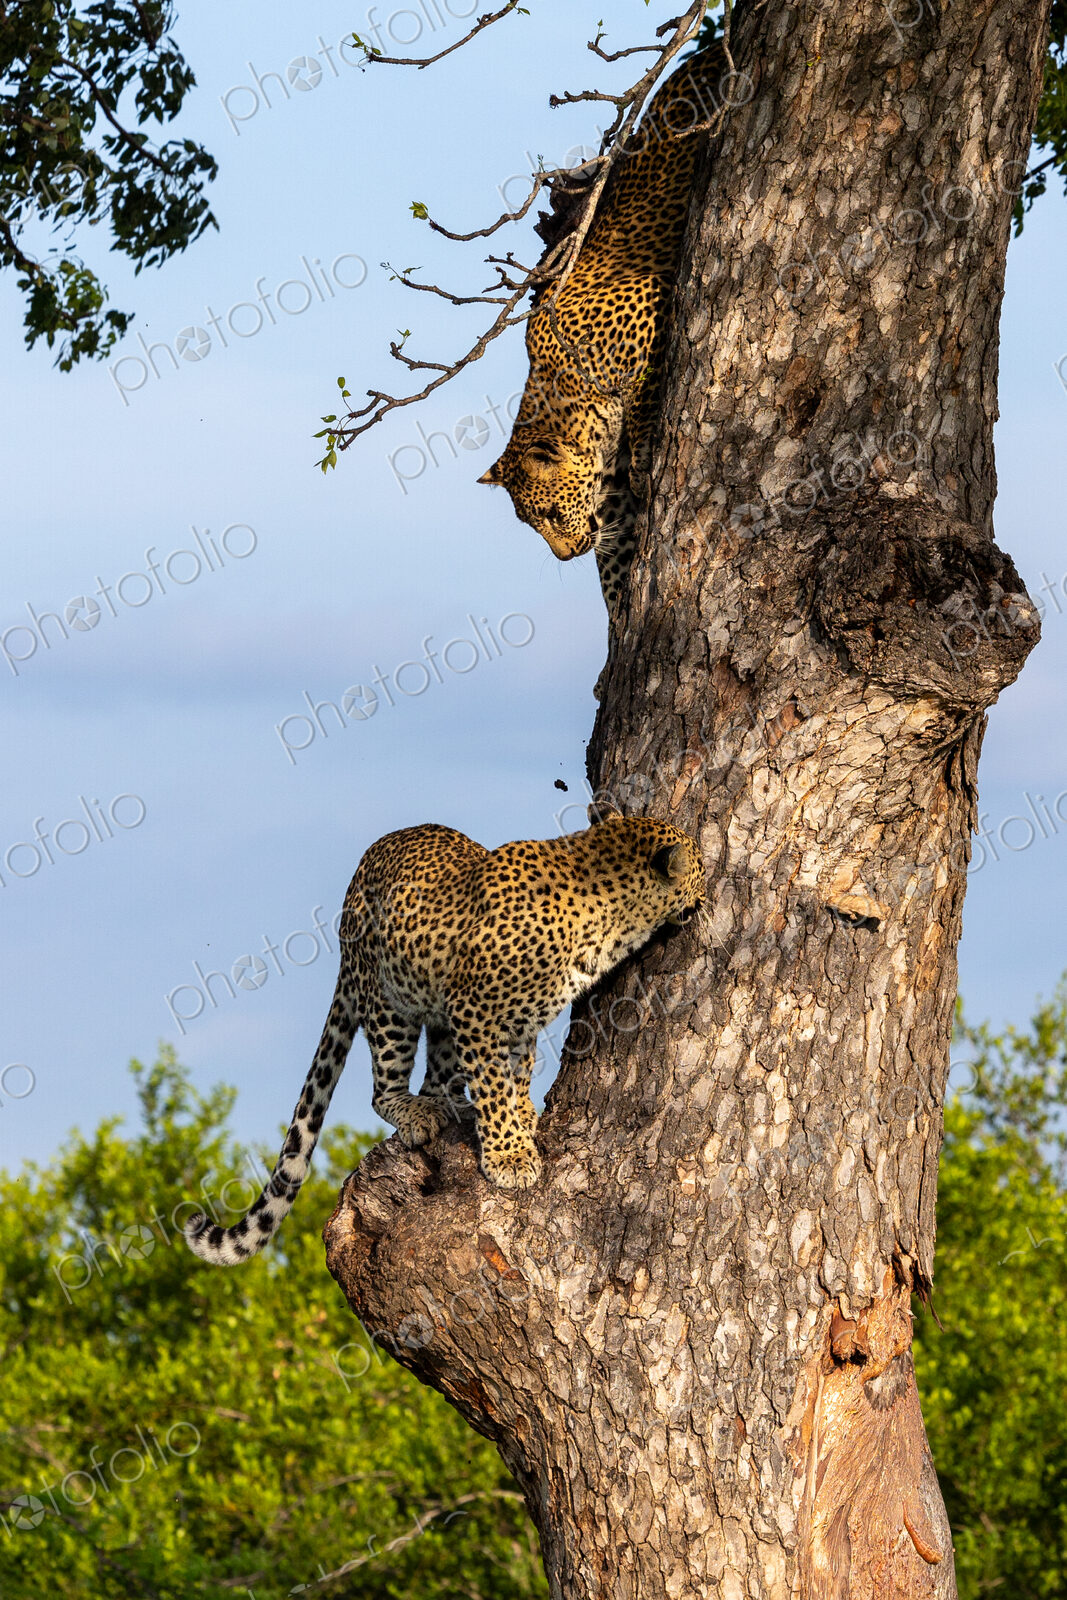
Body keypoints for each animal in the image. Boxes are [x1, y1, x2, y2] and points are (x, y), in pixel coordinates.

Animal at [183, 807, 705, 1265]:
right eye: (699, 865)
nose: (707, 892)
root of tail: (357, 879)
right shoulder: (477, 1009)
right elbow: (493, 1085)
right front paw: (509, 1156)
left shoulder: (518, 1019)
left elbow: (517, 1072)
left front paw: (522, 1118)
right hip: (390, 1000)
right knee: (384, 1089)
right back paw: (418, 1113)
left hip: (440, 1018)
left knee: (437, 1079)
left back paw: (450, 1105)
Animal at [478, 43, 729, 623]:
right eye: (531, 524)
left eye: (550, 512)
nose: (564, 556)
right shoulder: (606, 494)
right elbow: (612, 552)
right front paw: (617, 615)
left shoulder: (653, 303)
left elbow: (642, 398)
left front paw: (645, 455)